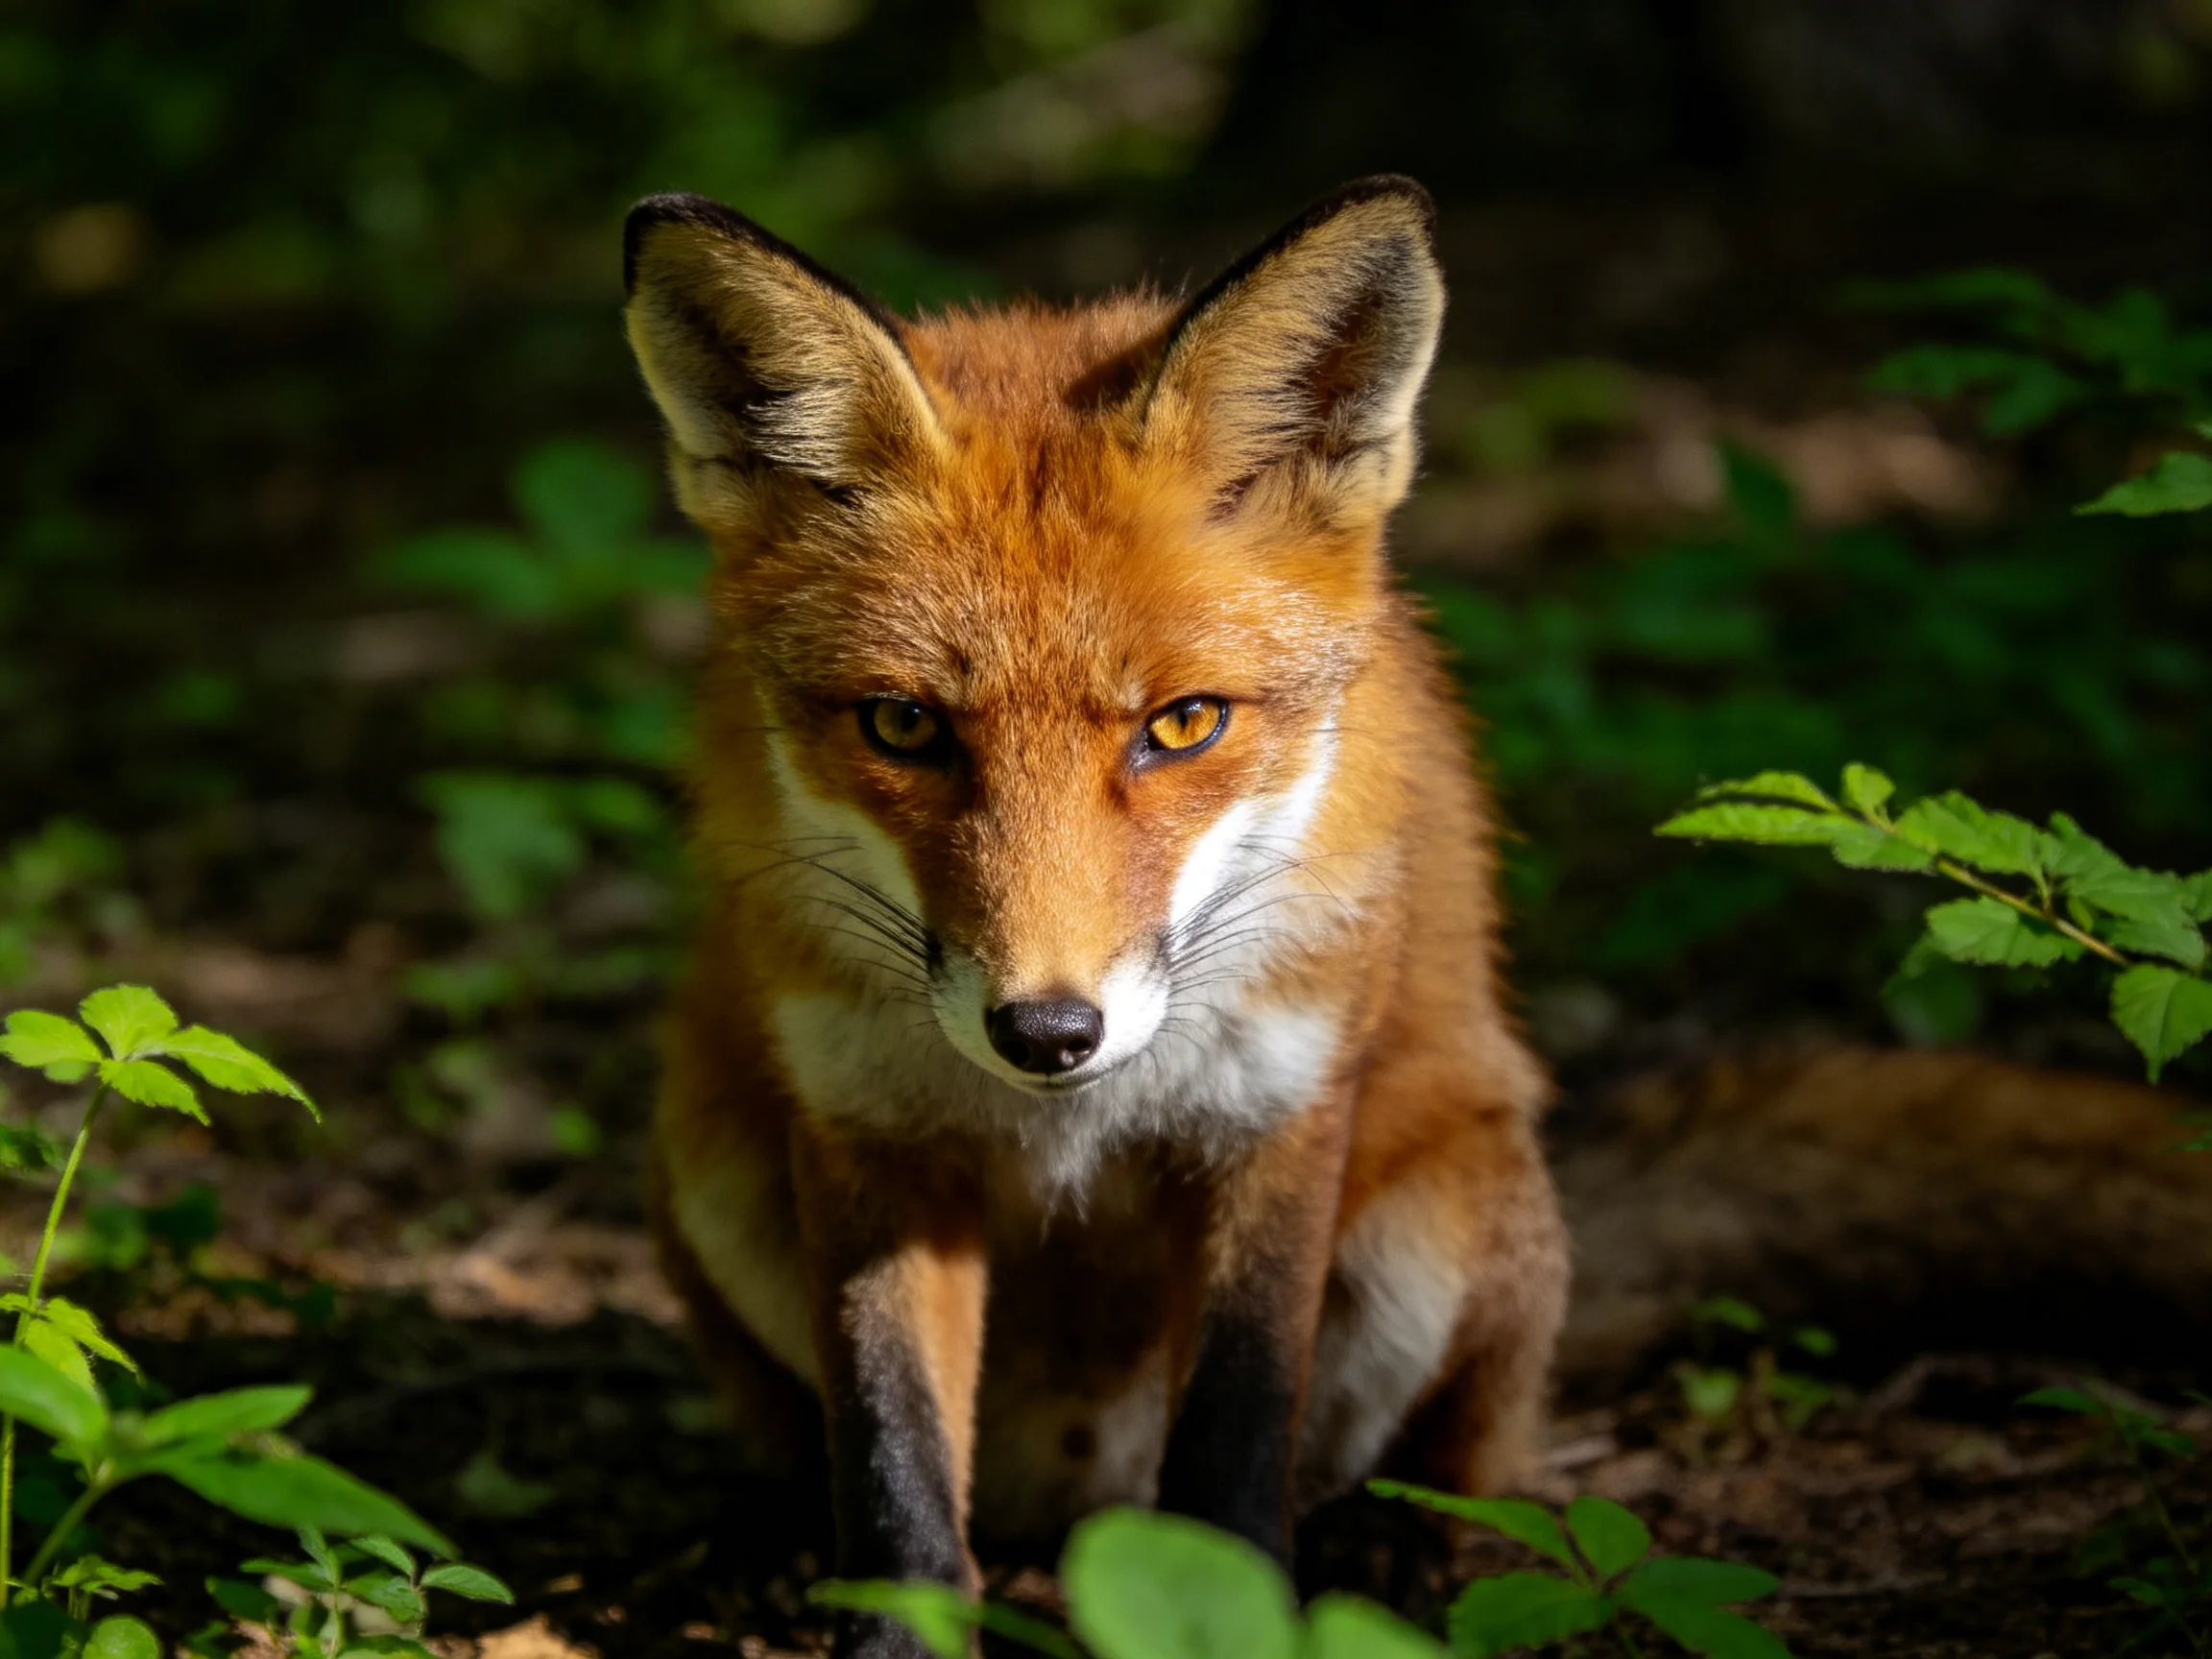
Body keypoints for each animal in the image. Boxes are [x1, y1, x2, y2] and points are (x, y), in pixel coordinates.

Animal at [621, 176, 1568, 1655]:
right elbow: (888, 1459)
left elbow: (1236, 1446)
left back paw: (1399, 1544)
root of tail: (1074, 1495)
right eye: (905, 726)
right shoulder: (868, 1140)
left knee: (1462, 1453)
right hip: (713, 1163)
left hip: (1446, 1214)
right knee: (805, 1442)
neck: (1072, 1118)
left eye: (1181, 726)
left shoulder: (1271, 1125)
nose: (1048, 1031)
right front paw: (891, 1634)